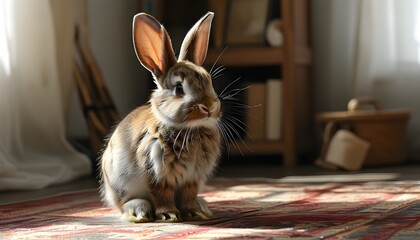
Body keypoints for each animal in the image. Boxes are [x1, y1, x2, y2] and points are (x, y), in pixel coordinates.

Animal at [99, 11, 223, 223]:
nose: (209, 107)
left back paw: (202, 205)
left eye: (209, 80)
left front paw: (194, 212)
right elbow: (161, 195)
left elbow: (189, 195)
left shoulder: (192, 178)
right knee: (124, 204)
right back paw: (139, 212)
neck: (189, 129)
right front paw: (168, 215)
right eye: (179, 88)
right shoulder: (156, 173)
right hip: (120, 186)